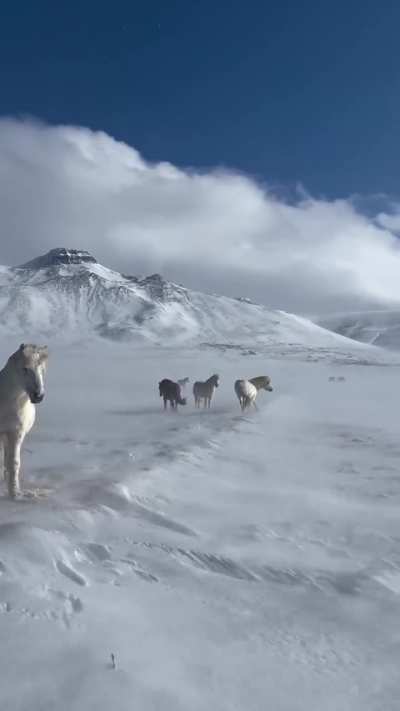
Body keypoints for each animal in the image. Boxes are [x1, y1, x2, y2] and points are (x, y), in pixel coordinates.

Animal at [0, 343, 48, 498]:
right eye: (25, 368)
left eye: (42, 368)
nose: (38, 396)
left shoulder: (16, 432)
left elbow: (14, 463)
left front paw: (15, 493)